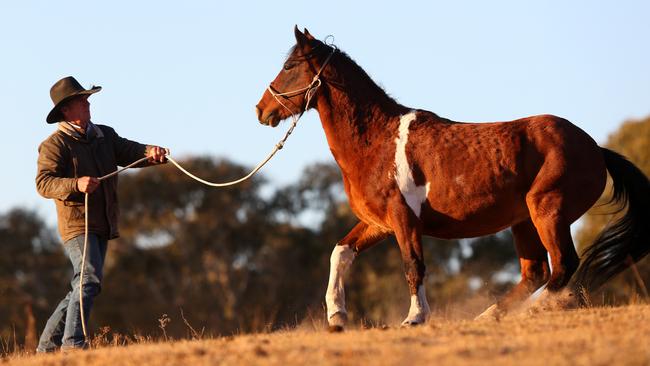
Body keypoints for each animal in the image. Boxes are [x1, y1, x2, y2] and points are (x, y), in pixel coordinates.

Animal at [253, 25, 648, 328]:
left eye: (289, 65)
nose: (261, 109)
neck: (378, 141)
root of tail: (595, 148)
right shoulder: (379, 223)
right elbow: (341, 253)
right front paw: (336, 315)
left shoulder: (404, 219)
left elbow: (413, 266)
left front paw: (414, 318)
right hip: (523, 222)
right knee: (535, 272)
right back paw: (489, 316)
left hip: (548, 211)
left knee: (563, 265)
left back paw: (535, 311)